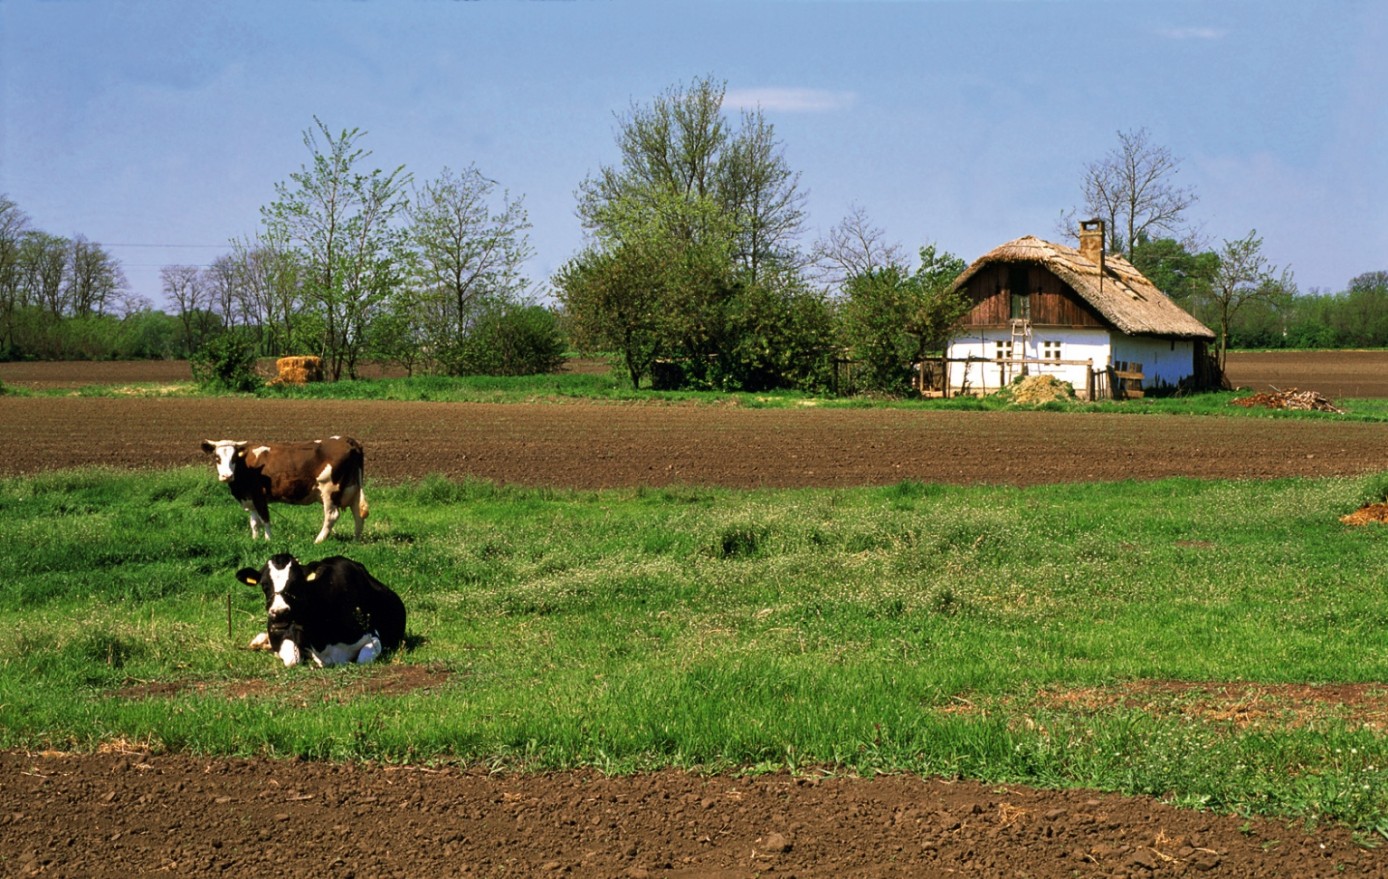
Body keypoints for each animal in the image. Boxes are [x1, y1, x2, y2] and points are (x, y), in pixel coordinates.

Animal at [199, 433, 369, 541]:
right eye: (217, 458)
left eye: (234, 458)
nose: (227, 476)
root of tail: (347, 439)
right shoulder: (249, 498)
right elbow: (254, 522)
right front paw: (254, 540)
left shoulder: (259, 496)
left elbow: (265, 519)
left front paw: (269, 540)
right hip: (353, 488)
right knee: (358, 514)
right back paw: (355, 541)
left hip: (329, 490)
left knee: (331, 516)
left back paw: (318, 540)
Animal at [234, 552, 405, 669]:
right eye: (264, 585)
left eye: (297, 583)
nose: (280, 612)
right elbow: (292, 660)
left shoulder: (372, 635)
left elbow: (362, 659)